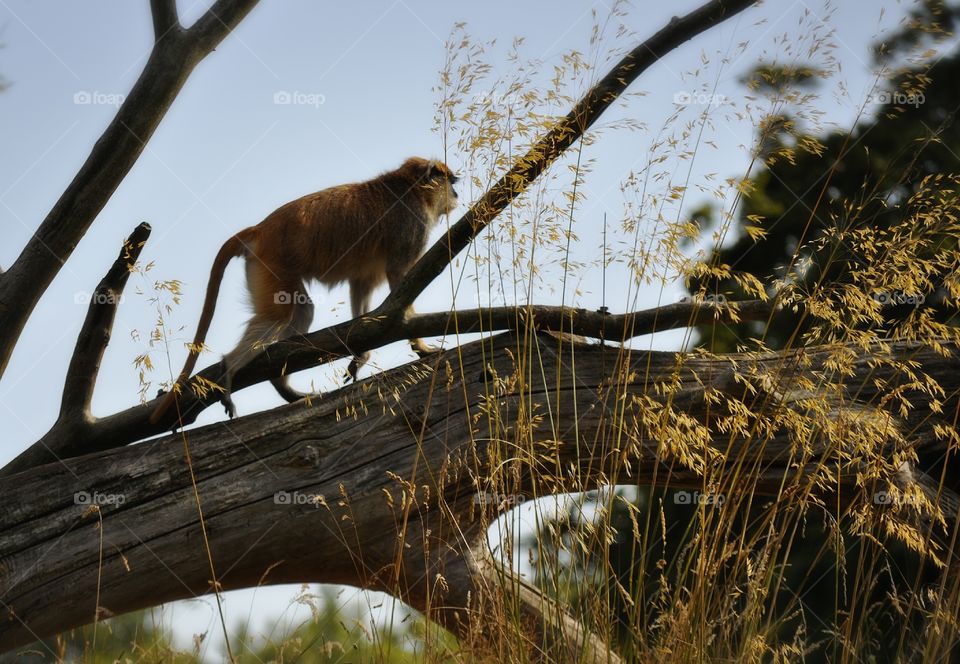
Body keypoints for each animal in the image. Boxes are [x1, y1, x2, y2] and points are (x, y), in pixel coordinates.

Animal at [150, 156, 459, 423]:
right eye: (450, 181)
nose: (456, 194)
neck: (406, 186)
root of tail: (261, 228)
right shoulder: (411, 225)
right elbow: (399, 278)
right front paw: (420, 346)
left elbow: (361, 287)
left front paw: (361, 355)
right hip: (271, 264)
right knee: (277, 317)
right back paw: (229, 369)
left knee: (301, 312)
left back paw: (281, 384)